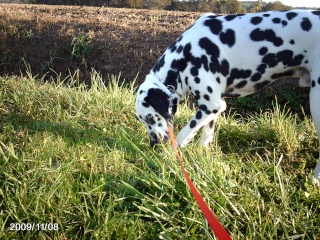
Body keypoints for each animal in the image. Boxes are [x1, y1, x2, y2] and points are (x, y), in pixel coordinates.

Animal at [136, 10, 320, 180]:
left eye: (150, 118)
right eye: (144, 121)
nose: (153, 144)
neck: (184, 57)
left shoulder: (211, 105)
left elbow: (183, 135)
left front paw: (167, 157)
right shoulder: (212, 108)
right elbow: (206, 135)